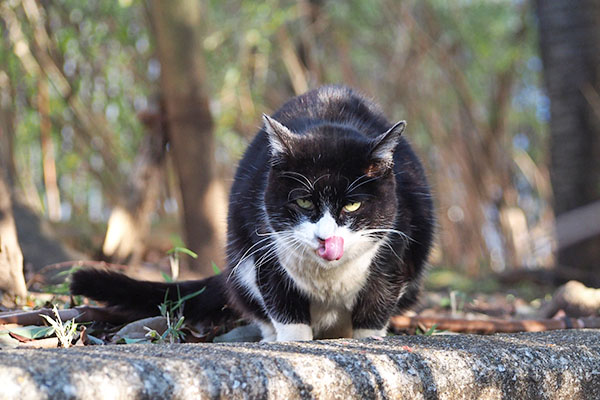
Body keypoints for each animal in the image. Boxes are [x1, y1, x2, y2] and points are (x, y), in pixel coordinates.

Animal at [72, 86, 434, 342]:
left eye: (352, 205)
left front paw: (367, 342)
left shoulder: (395, 250)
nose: (326, 238)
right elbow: (284, 307)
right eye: (304, 202)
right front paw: (292, 343)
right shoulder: (265, 249)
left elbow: (375, 308)